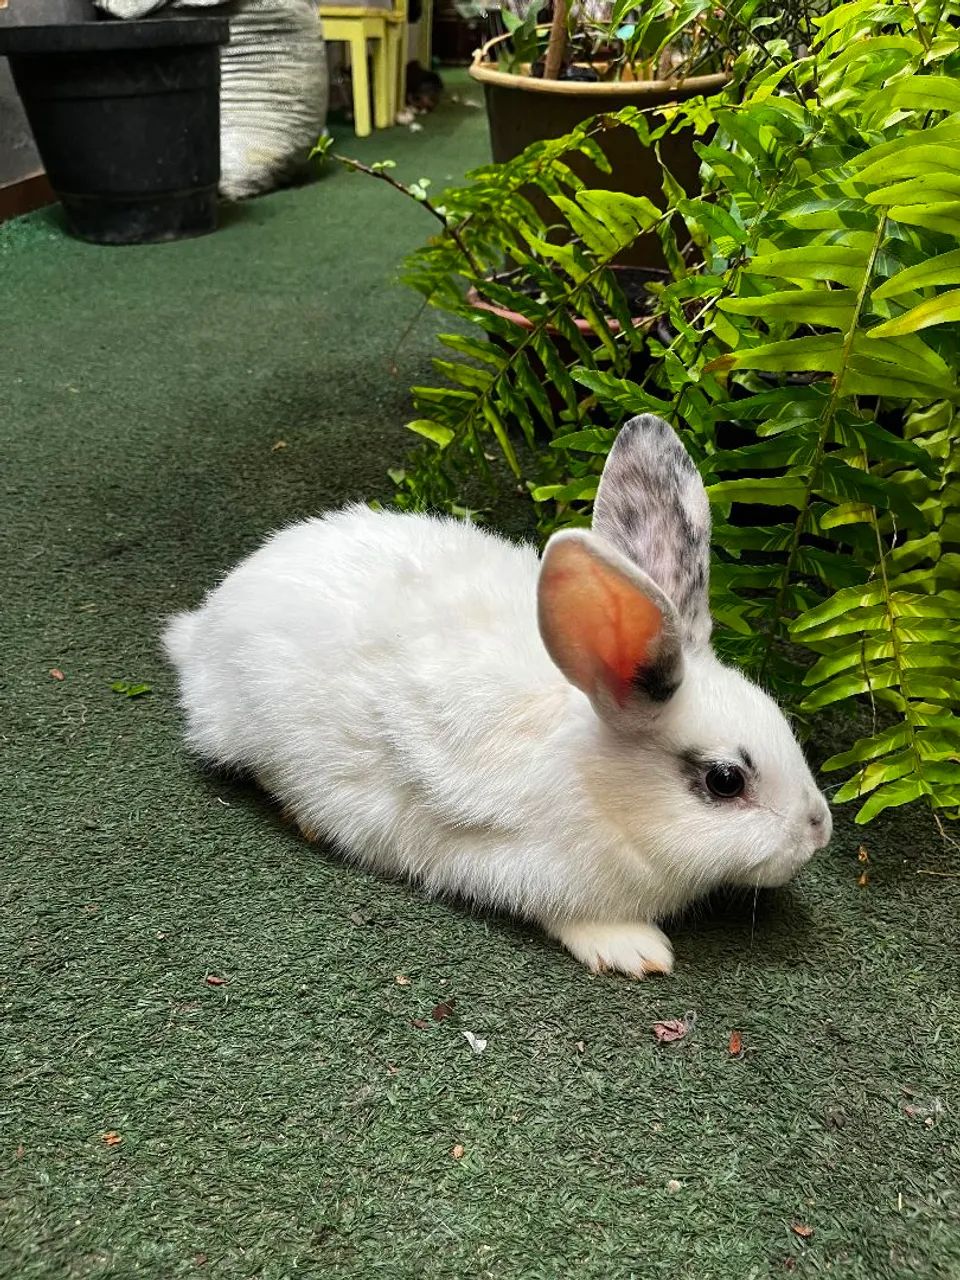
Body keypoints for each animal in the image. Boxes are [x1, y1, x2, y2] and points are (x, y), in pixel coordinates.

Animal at [163, 414, 832, 978]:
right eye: (725, 781)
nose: (818, 831)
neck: (596, 786)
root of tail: (202, 627)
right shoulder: (523, 870)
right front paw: (635, 950)